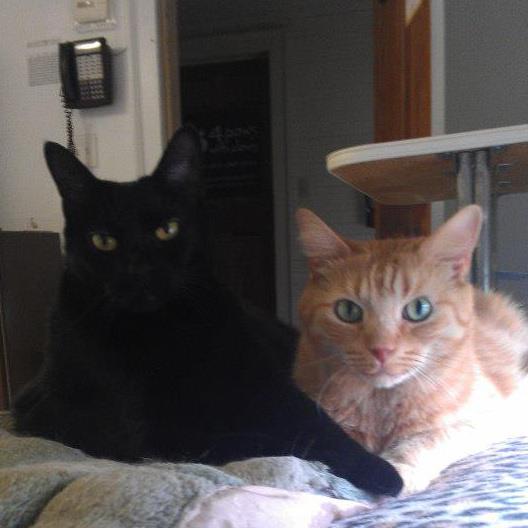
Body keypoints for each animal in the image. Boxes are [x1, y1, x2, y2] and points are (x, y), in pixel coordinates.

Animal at [13, 127, 402, 497]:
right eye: (103, 241)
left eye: (167, 229)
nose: (140, 271)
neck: (167, 329)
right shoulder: (152, 430)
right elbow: (262, 441)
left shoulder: (273, 388)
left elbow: (321, 425)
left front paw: (382, 471)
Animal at [293, 205, 528, 494]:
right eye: (347, 311)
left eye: (419, 309)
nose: (382, 349)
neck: (381, 404)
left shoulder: (488, 416)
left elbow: (429, 440)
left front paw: (399, 468)